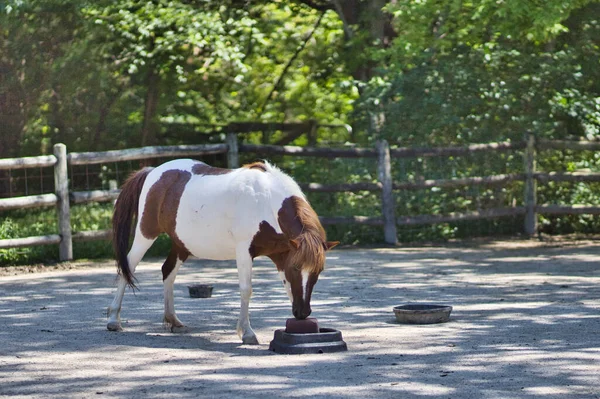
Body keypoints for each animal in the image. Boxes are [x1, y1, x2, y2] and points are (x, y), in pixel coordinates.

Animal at [106, 159, 338, 344]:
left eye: (319, 271)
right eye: (297, 268)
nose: (303, 313)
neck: (266, 201)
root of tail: (154, 171)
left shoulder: (283, 256)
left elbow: (290, 289)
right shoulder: (245, 251)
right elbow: (246, 290)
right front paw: (247, 333)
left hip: (181, 244)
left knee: (167, 271)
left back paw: (173, 320)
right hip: (146, 234)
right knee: (127, 267)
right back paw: (113, 320)